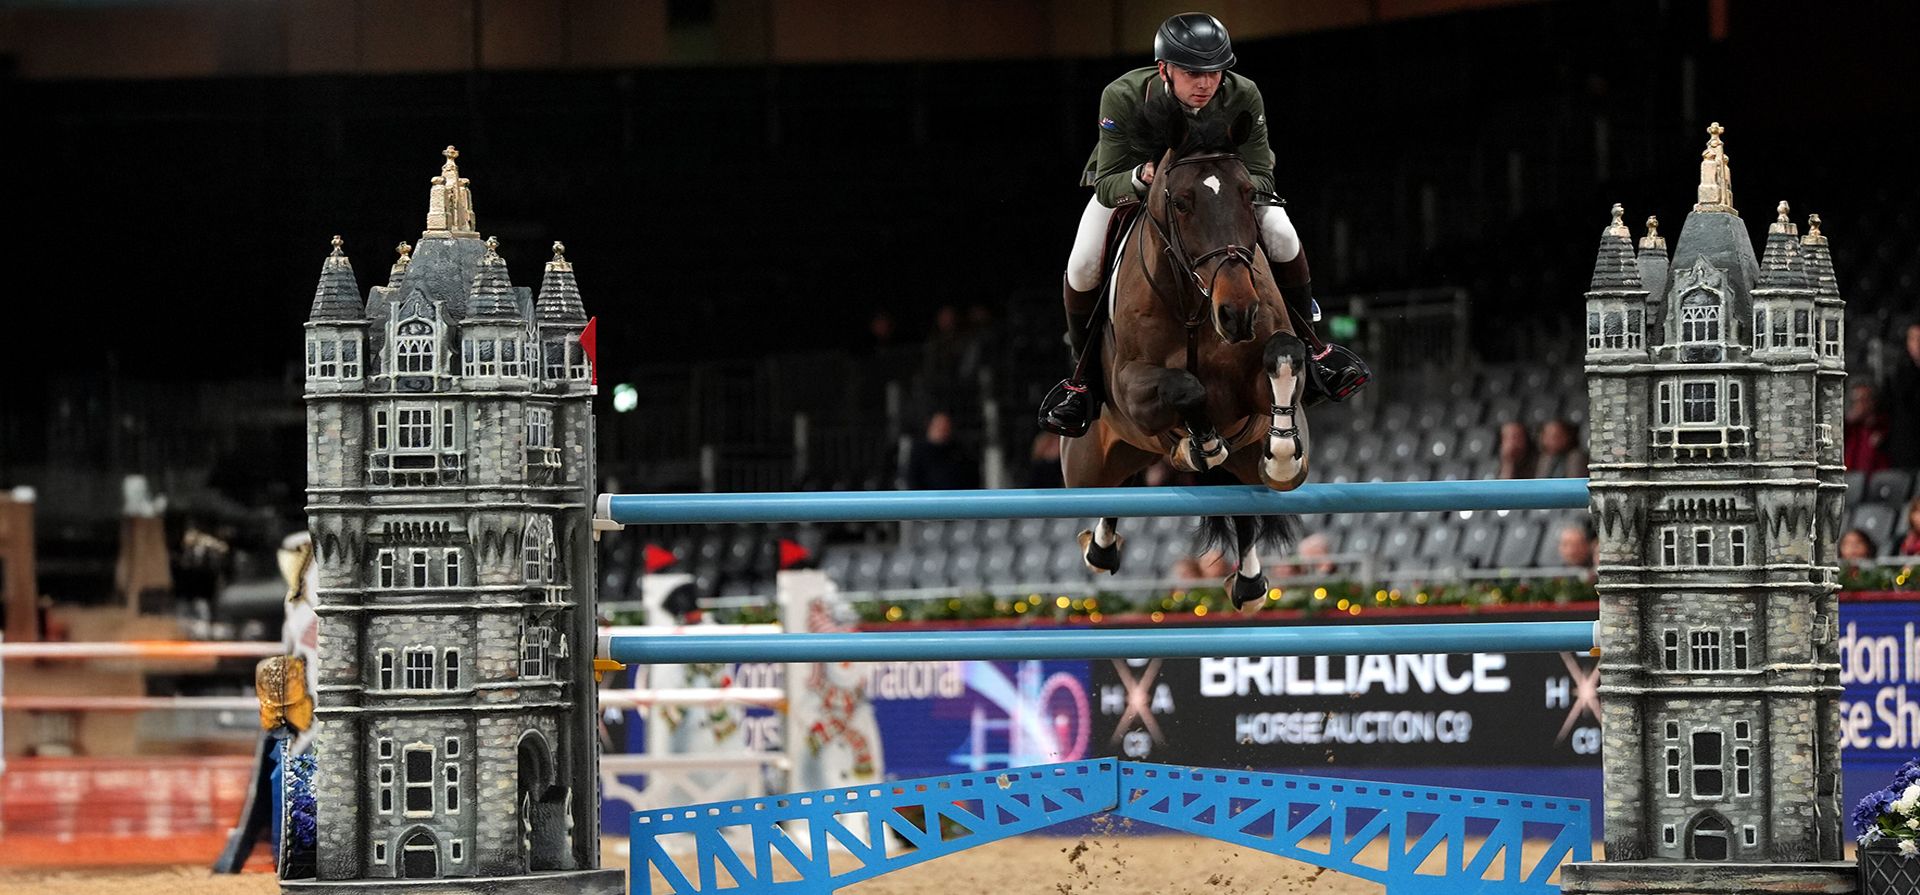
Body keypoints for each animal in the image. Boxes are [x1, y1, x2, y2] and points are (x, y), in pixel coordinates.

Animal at [1060, 97, 1310, 609]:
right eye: (1180, 202)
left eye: (1247, 195)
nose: (1237, 313)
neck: (1196, 305)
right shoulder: (1132, 387)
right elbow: (1186, 388)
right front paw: (1202, 443)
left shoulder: (1256, 381)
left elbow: (1284, 355)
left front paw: (1282, 454)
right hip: (1087, 466)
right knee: (1109, 496)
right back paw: (1100, 547)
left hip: (1236, 462)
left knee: (1240, 501)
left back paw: (1250, 583)